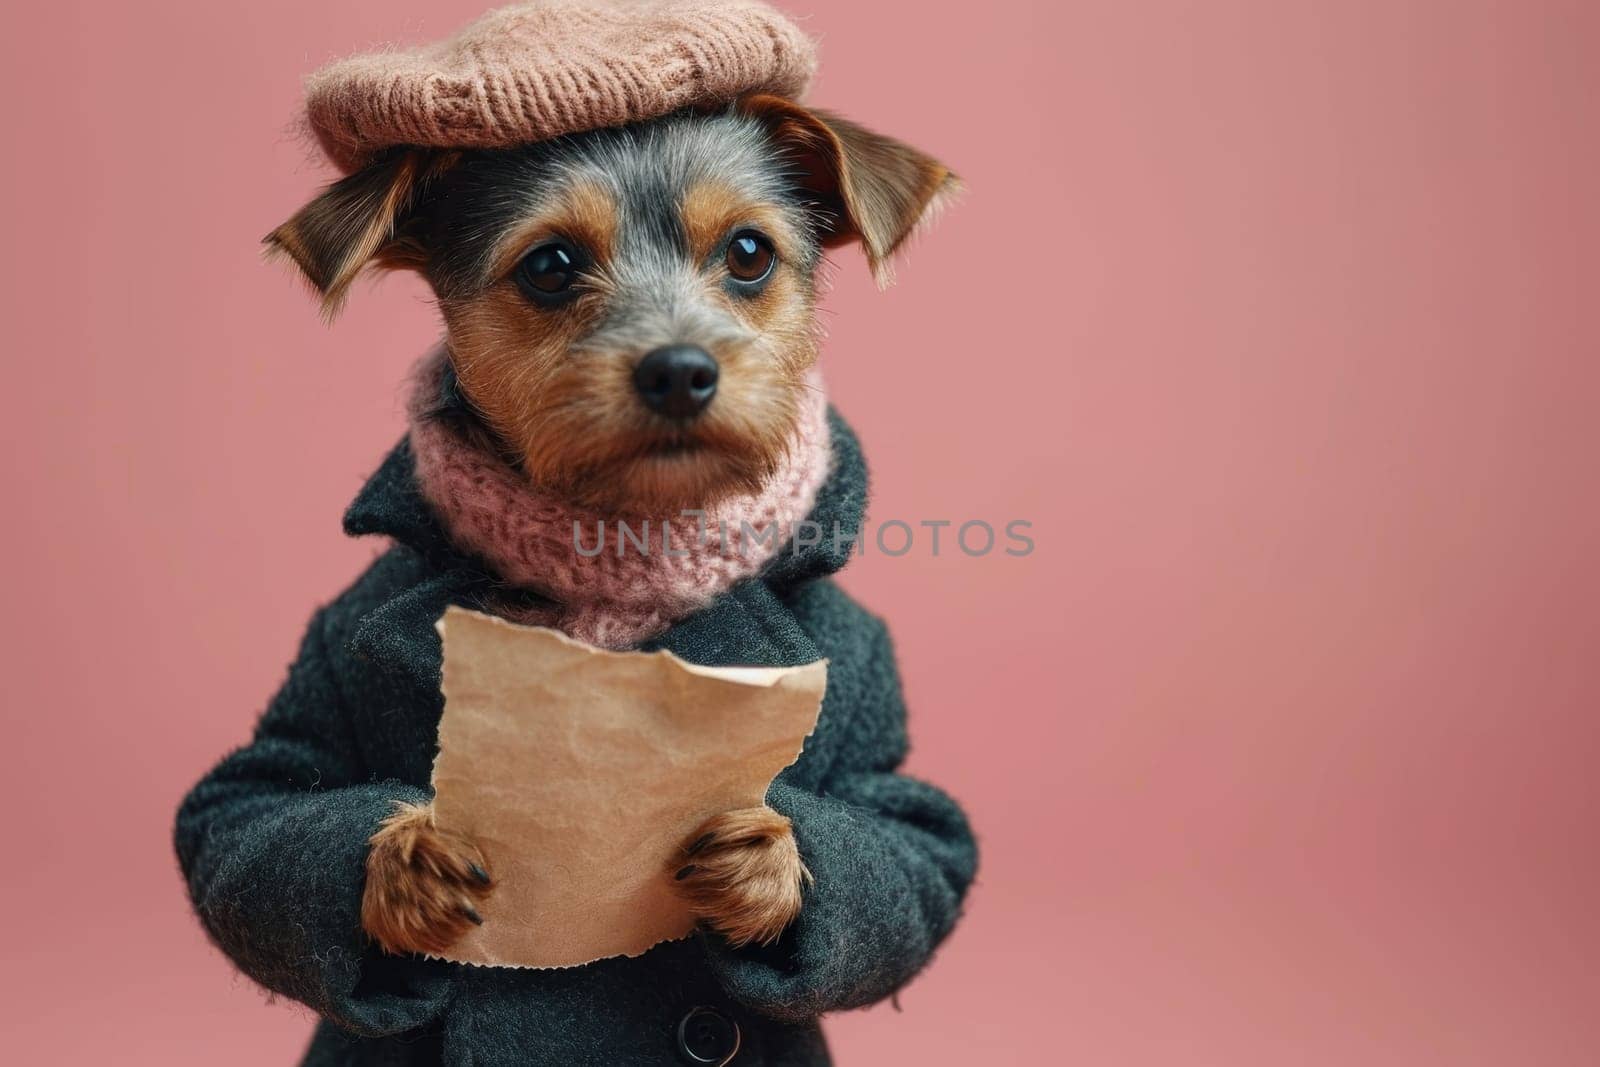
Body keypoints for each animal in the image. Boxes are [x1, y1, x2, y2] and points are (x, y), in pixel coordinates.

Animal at [267, 93, 953, 959]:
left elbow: (911, 839)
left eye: (749, 252)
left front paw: (762, 858)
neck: (629, 546)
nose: (680, 370)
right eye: (549, 266)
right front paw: (407, 861)